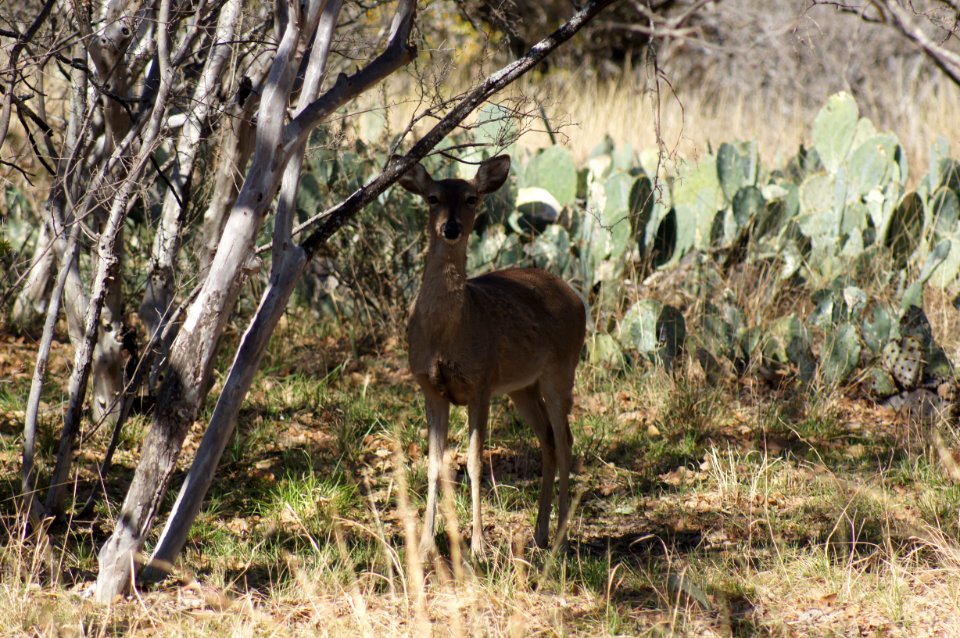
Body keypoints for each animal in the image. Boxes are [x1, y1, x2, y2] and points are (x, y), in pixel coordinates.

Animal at [396, 156, 584, 560]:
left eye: (471, 197)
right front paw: (425, 545)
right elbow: (434, 464)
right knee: (548, 439)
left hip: (562, 370)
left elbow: (474, 462)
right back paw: (540, 533)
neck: (445, 335)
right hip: (522, 387)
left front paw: (479, 545)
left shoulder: (480, 384)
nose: (450, 227)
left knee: (565, 441)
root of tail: (576, 296)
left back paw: (561, 539)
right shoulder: (430, 388)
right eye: (433, 197)